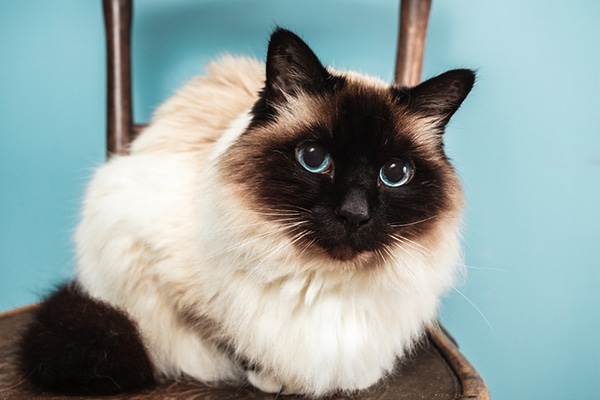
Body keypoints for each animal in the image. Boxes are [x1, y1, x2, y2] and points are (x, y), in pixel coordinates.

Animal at [17, 28, 474, 396]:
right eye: (313, 159)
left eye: (394, 174)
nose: (354, 213)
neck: (321, 281)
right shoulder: (155, 262)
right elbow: (233, 340)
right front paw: (274, 380)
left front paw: (354, 378)